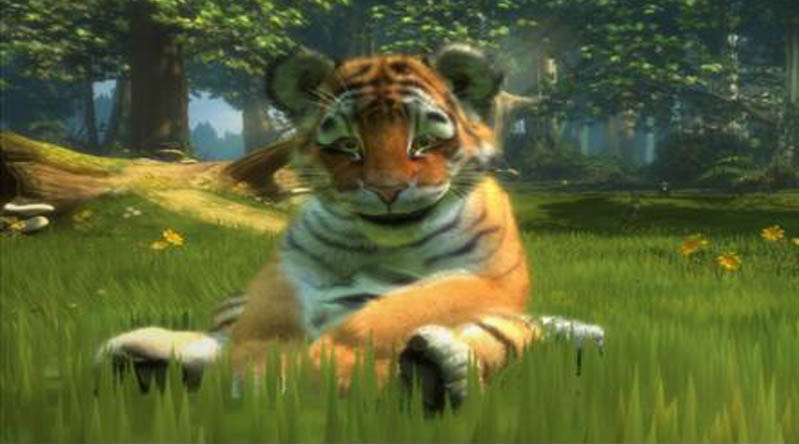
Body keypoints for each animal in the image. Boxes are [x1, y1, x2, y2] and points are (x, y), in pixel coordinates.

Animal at [99, 44, 549, 411]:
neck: (385, 245)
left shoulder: (492, 280)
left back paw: (432, 369)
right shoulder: (288, 269)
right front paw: (262, 371)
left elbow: (395, 310)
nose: (387, 191)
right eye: (349, 145)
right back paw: (135, 354)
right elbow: (268, 322)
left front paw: (320, 371)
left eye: (423, 142)